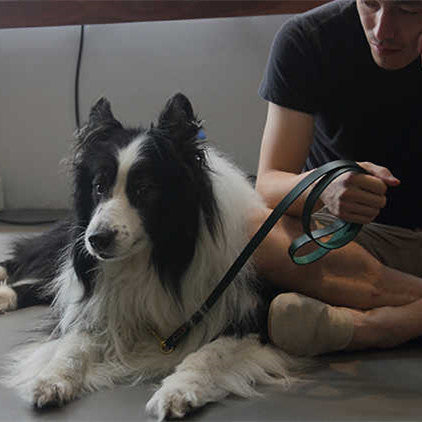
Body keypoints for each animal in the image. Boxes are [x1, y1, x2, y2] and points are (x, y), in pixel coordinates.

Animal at [0, 94, 300, 420]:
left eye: (144, 189)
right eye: (98, 187)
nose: (96, 240)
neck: (153, 259)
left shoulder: (254, 315)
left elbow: (209, 353)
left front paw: (177, 392)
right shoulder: (96, 301)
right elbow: (72, 345)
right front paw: (50, 380)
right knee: (23, 264)